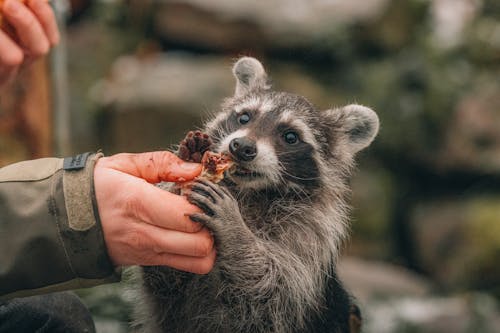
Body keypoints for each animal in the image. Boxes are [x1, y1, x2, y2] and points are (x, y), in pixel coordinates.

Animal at [133, 57, 378, 332]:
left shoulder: (308, 243)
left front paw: (235, 230)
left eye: (291, 136)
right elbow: (164, 276)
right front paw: (183, 175)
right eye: (244, 117)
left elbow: (272, 292)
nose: (241, 147)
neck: (250, 194)